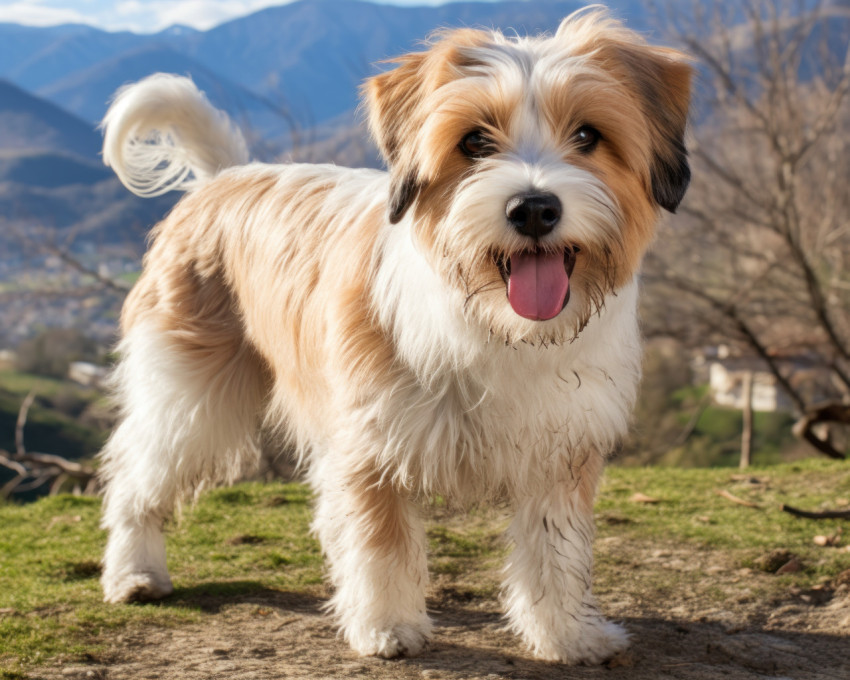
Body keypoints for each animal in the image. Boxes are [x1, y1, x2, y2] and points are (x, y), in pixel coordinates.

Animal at [96, 5, 688, 664]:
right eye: (475, 141)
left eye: (587, 136)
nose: (534, 209)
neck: (496, 325)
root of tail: (224, 178)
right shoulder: (373, 442)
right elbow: (381, 542)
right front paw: (385, 627)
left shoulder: (559, 449)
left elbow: (555, 551)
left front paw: (567, 634)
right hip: (189, 393)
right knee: (137, 476)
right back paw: (134, 571)